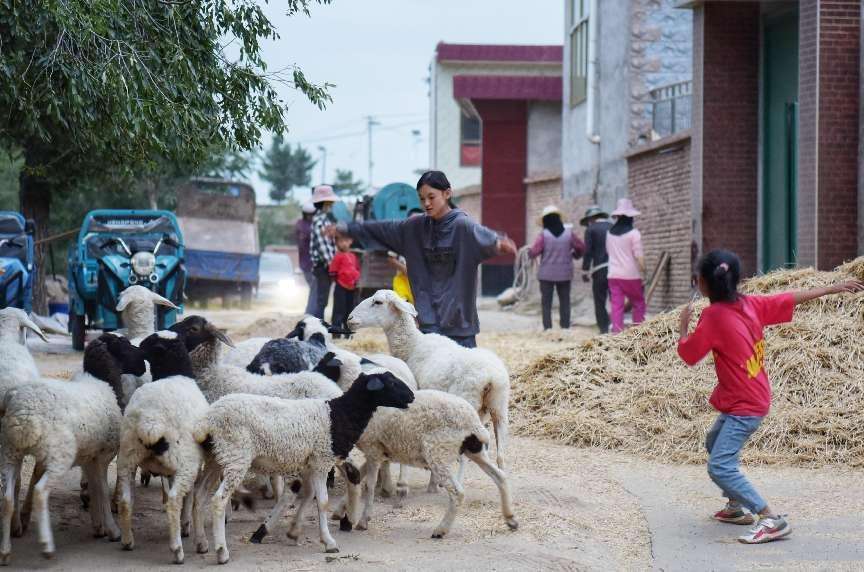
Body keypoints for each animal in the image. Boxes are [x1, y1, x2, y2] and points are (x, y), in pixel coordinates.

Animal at [116, 330, 211, 564]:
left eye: (145, 346)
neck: (174, 373)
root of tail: (151, 421)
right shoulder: (188, 466)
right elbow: (188, 498)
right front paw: (188, 529)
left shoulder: (169, 470)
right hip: (185, 461)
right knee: (175, 500)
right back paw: (177, 550)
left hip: (127, 457)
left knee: (125, 500)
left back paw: (127, 541)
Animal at [192, 370, 416, 564]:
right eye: (391, 383)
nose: (412, 396)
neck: (339, 415)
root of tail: (206, 422)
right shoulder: (322, 461)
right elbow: (322, 502)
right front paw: (329, 543)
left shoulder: (309, 464)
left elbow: (308, 495)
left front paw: (292, 531)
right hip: (236, 457)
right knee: (218, 500)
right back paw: (221, 552)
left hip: (215, 458)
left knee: (199, 495)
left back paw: (201, 543)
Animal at [346, 290, 510, 470]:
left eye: (378, 302)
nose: (350, 318)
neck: (412, 344)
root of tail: (491, 377)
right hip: (499, 407)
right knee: (501, 452)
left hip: (469, 401)